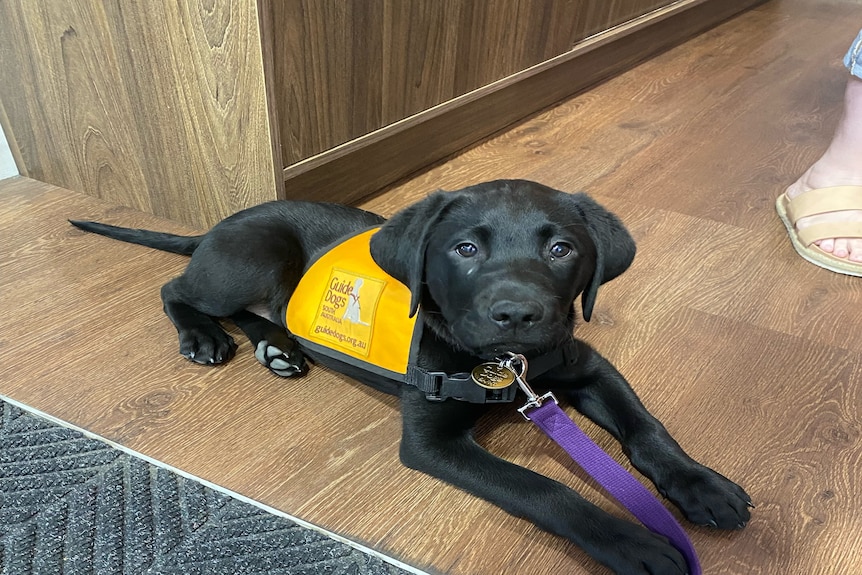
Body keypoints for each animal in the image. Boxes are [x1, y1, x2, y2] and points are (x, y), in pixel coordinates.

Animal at [71, 181, 752, 575]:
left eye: (562, 250)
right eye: (465, 249)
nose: (517, 314)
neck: (503, 366)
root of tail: (215, 227)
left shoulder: (581, 368)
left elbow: (646, 428)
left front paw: (701, 486)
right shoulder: (431, 442)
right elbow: (543, 489)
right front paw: (631, 541)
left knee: (257, 309)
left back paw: (276, 346)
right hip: (252, 256)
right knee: (177, 290)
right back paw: (205, 336)